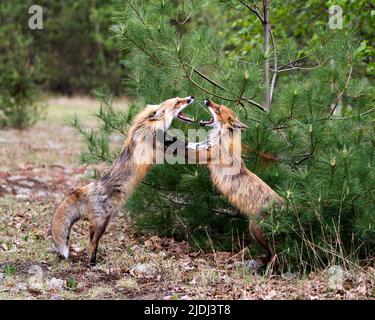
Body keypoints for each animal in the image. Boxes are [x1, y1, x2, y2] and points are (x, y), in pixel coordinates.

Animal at [189, 99, 284, 262]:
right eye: (217, 105)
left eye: (218, 109)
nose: (207, 100)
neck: (220, 138)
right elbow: (190, 144)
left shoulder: (204, 155)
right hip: (255, 232)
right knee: (269, 252)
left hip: (255, 229)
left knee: (275, 253)